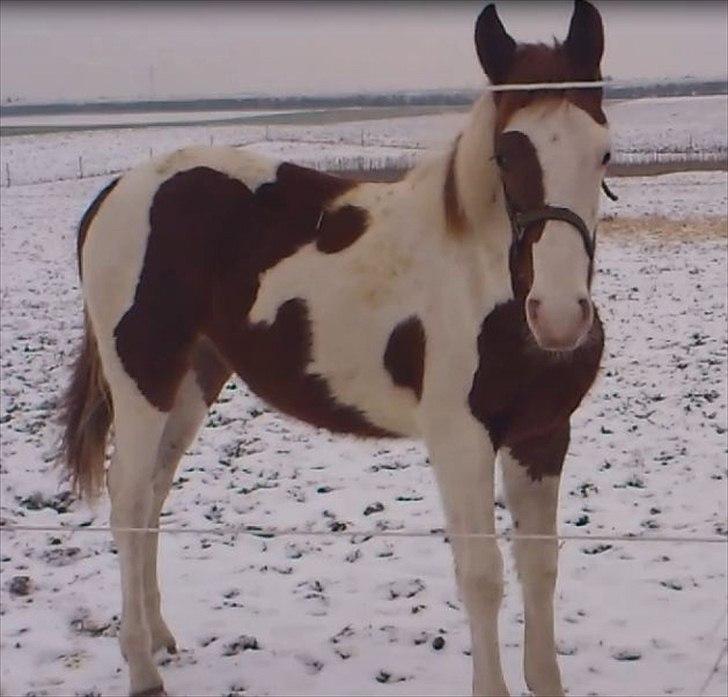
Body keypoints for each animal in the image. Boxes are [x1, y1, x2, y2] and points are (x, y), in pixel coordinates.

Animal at [61, 1, 608, 696]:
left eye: (603, 154)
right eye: (507, 156)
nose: (560, 316)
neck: (482, 280)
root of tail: (114, 194)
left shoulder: (541, 436)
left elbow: (540, 566)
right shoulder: (461, 440)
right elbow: (482, 576)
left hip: (192, 383)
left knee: (154, 494)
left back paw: (160, 636)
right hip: (143, 384)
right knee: (128, 500)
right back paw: (140, 667)